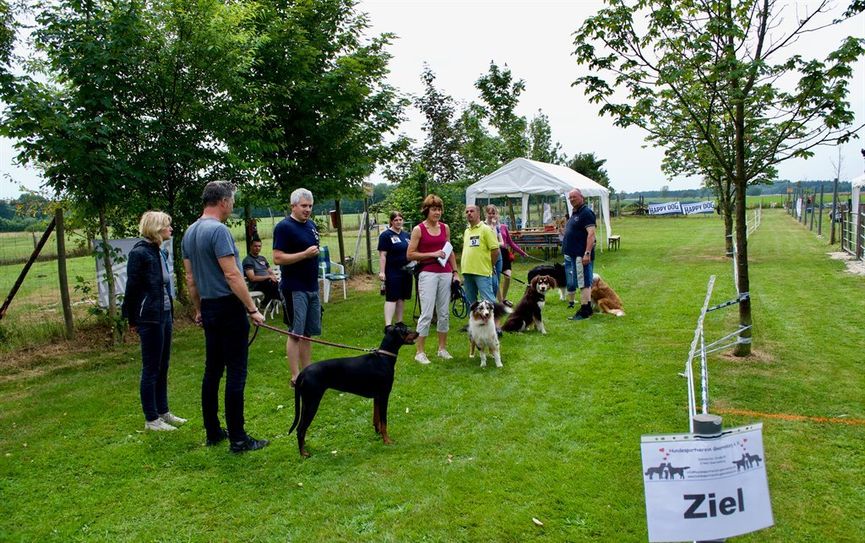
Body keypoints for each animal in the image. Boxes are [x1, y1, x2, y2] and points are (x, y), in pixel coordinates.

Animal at [286, 324, 418, 460]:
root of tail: (302, 373)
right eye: (406, 329)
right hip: (312, 403)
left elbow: (376, 419)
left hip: (306, 403)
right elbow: (384, 422)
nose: (418, 333)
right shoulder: (384, 396)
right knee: (300, 429)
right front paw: (387, 441)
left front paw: (378, 433)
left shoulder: (377, 397)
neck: (383, 358)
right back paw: (303, 453)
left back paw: (304, 446)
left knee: (301, 428)